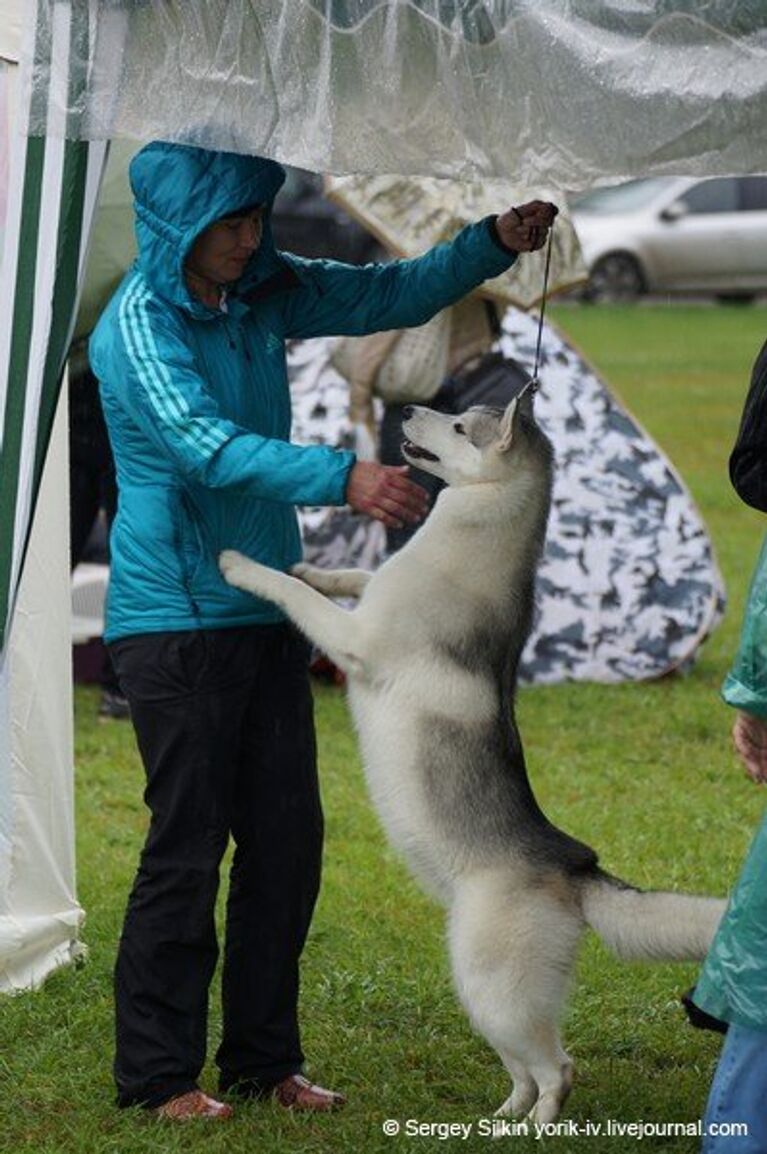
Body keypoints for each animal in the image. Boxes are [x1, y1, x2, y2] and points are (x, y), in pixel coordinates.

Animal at [216, 394, 724, 1117]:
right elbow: (352, 574)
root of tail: (573, 867)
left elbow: (301, 600)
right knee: (525, 1069)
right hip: (478, 991)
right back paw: (502, 1117)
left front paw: (244, 566)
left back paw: (533, 1125)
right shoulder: (369, 597)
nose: (405, 406)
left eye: (459, 425)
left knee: (557, 1068)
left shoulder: (356, 639)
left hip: (493, 984)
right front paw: (309, 564)